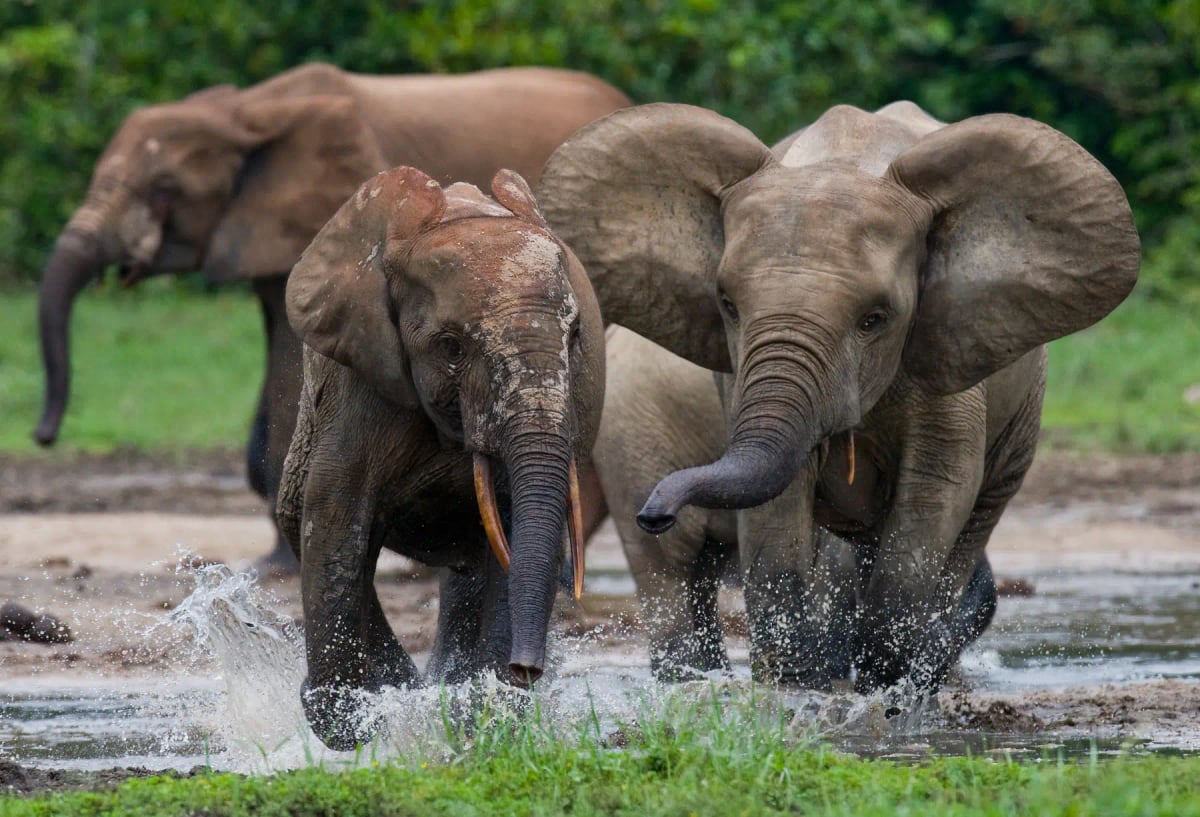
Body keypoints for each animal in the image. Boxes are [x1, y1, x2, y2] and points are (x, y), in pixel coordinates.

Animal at [276, 166, 604, 749]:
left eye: (575, 336)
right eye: (451, 347)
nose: (527, 670)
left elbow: (513, 533)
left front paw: (486, 717)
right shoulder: (360, 382)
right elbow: (336, 516)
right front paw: (353, 722)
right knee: (299, 517)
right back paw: (410, 690)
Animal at [539, 101, 1139, 692]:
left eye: (875, 319)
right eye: (727, 305)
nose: (655, 512)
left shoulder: (946, 346)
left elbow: (937, 486)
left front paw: (885, 683)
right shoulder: (737, 374)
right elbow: (781, 498)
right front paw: (797, 681)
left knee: (972, 519)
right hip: (633, 434)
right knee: (672, 568)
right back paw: (693, 678)